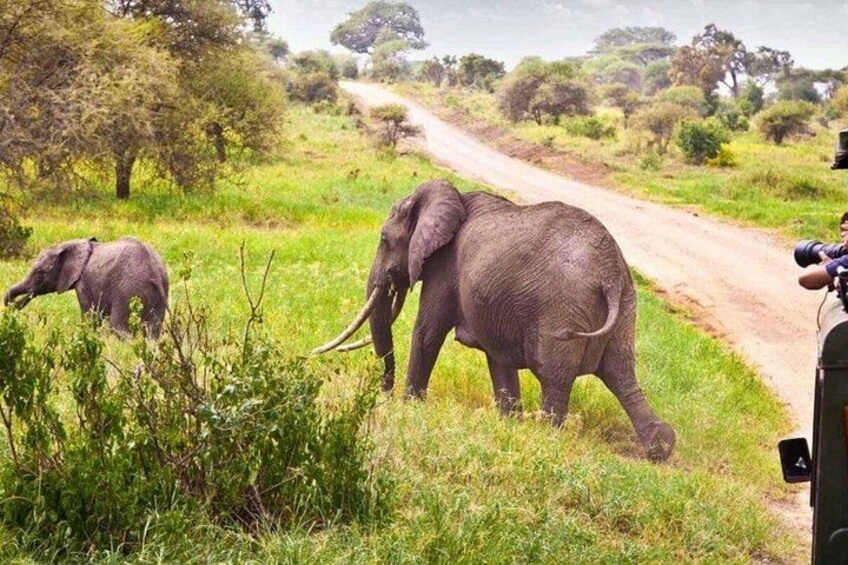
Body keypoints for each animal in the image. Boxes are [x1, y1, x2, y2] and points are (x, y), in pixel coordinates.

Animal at [4, 237, 169, 338]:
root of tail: (154, 272)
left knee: (118, 326)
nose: (9, 306)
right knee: (153, 330)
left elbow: (90, 316)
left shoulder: (83, 282)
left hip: (128, 290)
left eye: (40, 272)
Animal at [315, 180, 675, 462]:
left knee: (557, 377)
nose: (384, 394)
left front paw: (409, 408)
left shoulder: (445, 269)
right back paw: (661, 447)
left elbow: (427, 334)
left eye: (385, 241)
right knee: (622, 375)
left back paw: (545, 437)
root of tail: (610, 273)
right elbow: (497, 358)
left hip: (563, 309)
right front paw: (509, 423)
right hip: (626, 307)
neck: (453, 198)